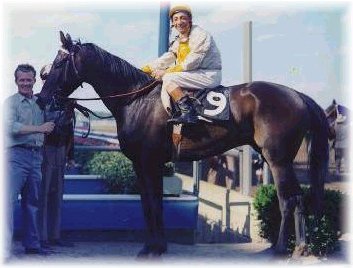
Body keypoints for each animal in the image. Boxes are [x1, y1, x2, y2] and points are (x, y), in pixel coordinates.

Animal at [40, 31, 328, 258]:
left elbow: (156, 202)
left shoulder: (151, 162)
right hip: (273, 157)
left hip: (278, 159)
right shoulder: (140, 165)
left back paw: (284, 249)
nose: (43, 97)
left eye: (60, 62)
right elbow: (147, 203)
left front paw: (157, 247)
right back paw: (291, 247)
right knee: (294, 197)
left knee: (289, 198)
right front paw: (150, 245)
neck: (137, 101)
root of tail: (297, 95)